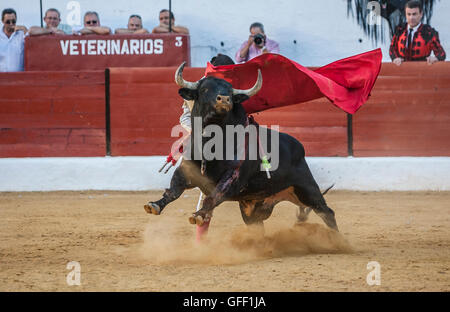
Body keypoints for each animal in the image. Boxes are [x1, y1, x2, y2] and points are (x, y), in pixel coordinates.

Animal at [144, 62, 338, 230]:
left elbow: (213, 197)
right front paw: (154, 205)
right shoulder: (186, 170)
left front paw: (199, 215)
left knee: (326, 212)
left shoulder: (232, 178)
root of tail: (299, 147)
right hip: (253, 207)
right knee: (258, 224)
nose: (224, 99)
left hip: (307, 189)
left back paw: (337, 241)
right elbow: (173, 191)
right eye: (205, 89)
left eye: (230, 91)